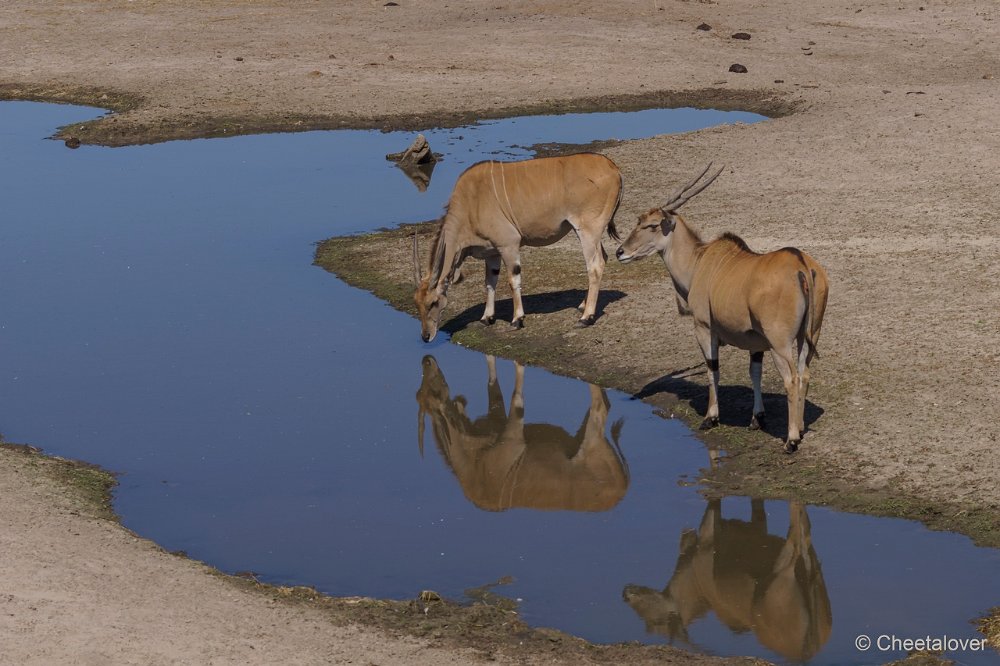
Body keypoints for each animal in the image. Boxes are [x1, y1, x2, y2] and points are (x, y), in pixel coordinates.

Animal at [412, 152, 620, 340]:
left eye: (433, 302)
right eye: (417, 304)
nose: (426, 336)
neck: (471, 201)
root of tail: (613, 169)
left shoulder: (509, 244)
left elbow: (513, 280)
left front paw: (517, 320)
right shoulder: (492, 252)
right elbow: (490, 281)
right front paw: (487, 317)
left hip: (587, 230)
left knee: (595, 266)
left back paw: (586, 317)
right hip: (589, 233)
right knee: (603, 258)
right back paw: (583, 305)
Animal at [616, 165, 828, 452]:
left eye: (650, 225)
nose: (620, 252)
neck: (699, 261)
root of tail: (802, 265)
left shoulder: (704, 328)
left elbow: (712, 367)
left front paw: (711, 417)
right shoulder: (756, 342)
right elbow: (754, 372)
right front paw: (757, 418)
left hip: (780, 343)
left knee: (792, 379)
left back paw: (791, 440)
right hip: (808, 335)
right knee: (804, 374)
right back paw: (801, 427)